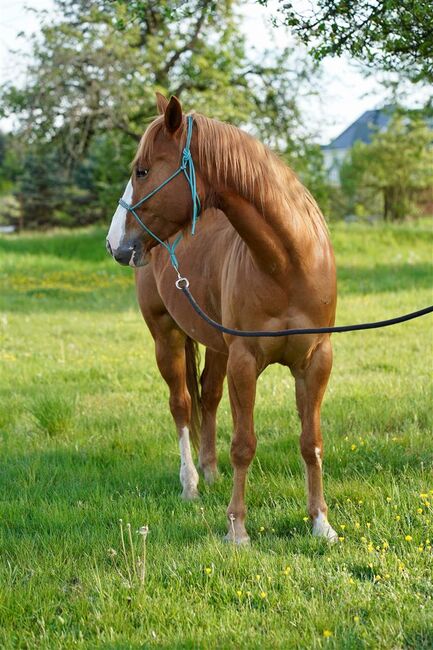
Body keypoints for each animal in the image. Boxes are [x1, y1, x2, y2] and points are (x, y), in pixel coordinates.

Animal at [106, 92, 340, 540]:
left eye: (142, 170)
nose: (115, 244)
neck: (288, 263)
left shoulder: (316, 361)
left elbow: (311, 440)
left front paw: (321, 523)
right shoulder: (245, 362)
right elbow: (244, 445)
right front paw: (237, 529)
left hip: (216, 345)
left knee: (208, 395)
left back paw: (210, 472)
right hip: (166, 336)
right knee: (182, 405)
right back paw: (191, 484)